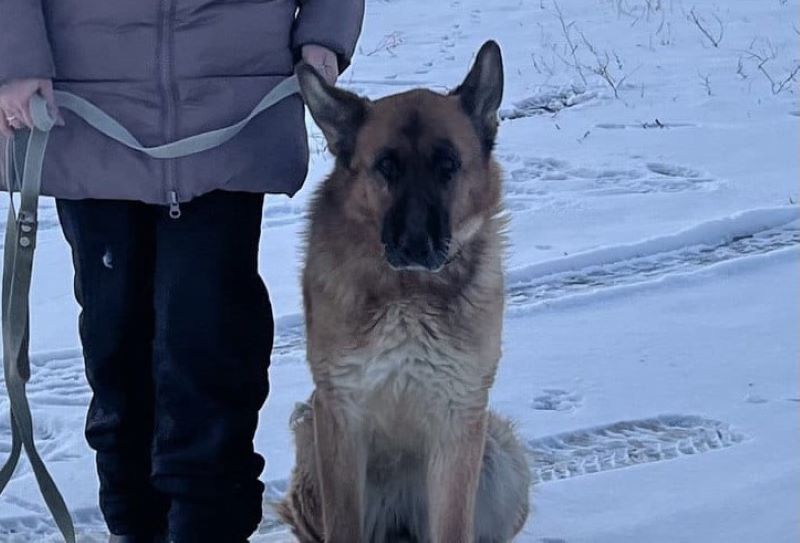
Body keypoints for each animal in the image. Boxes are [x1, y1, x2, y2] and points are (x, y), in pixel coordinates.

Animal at [278, 41, 531, 543]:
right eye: (386, 167)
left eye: (447, 166)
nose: (416, 244)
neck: (408, 293)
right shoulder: (340, 416)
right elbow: (344, 527)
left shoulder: (459, 421)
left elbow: (453, 527)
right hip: (310, 436)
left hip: (500, 454)